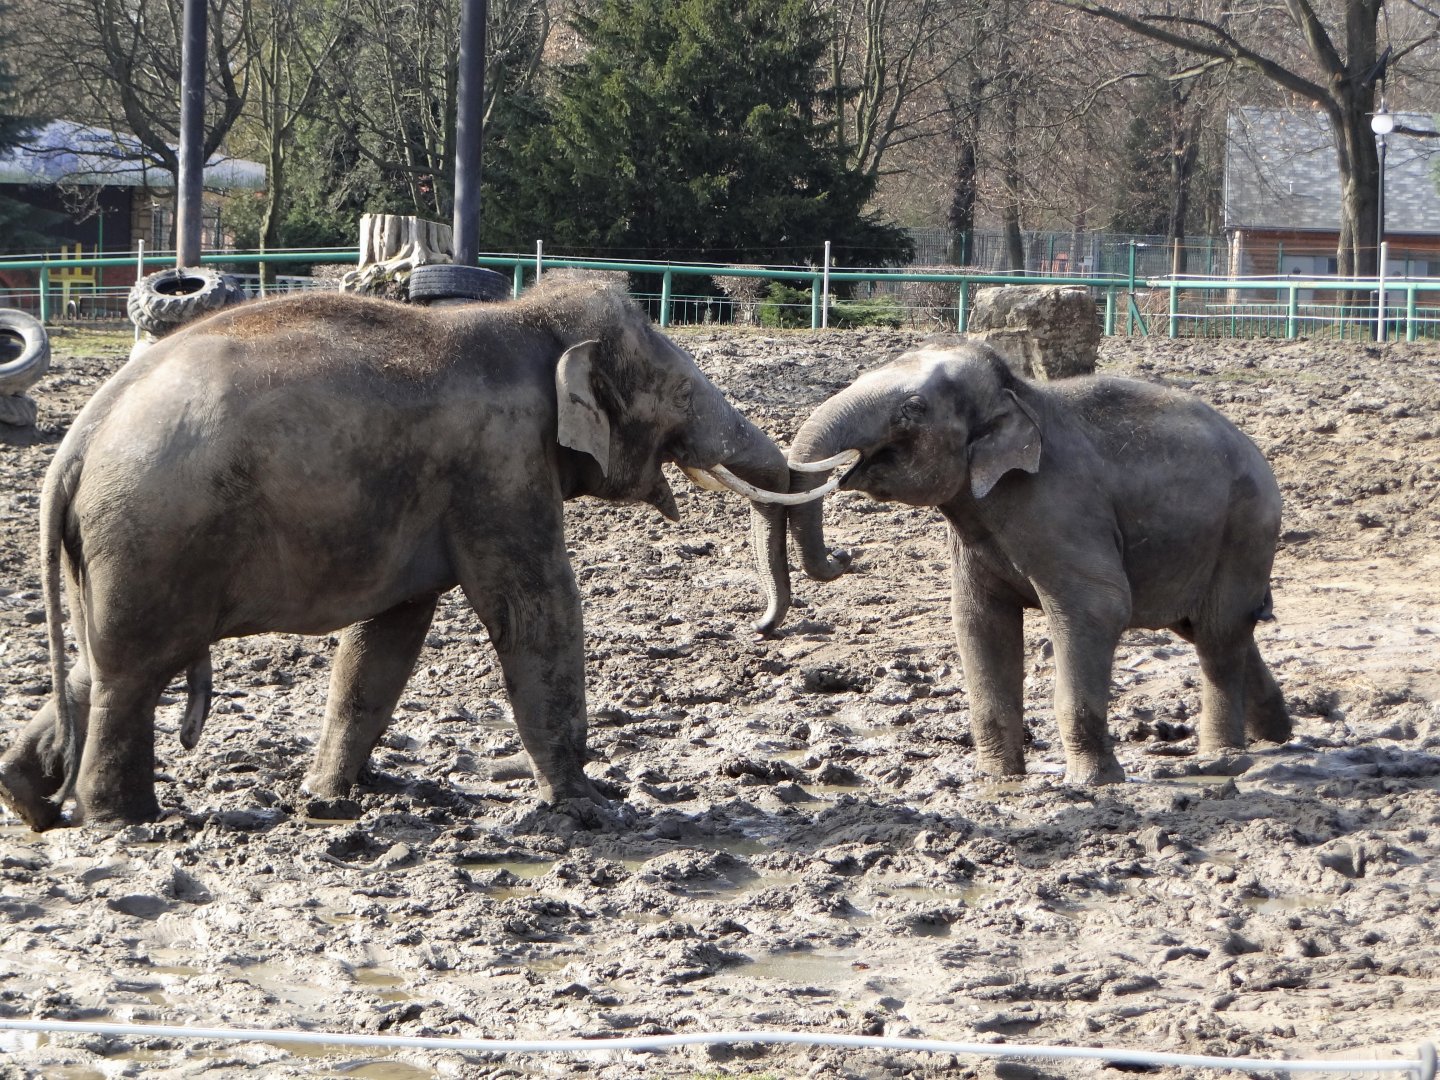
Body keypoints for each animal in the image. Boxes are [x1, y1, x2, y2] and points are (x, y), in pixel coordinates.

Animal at [0, 275, 838, 831]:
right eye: (680, 393)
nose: (766, 623)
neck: (524, 318)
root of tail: (77, 440)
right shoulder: (501, 462)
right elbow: (534, 608)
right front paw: (592, 809)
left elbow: (389, 633)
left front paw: (329, 800)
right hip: (156, 531)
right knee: (135, 670)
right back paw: (129, 820)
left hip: (127, 548)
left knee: (107, 661)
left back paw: (30, 799)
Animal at [786, 338, 1291, 785]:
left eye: (913, 408)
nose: (842, 556)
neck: (1019, 392)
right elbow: (979, 621)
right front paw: (995, 781)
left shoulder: (1061, 506)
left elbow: (1098, 607)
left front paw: (1092, 783)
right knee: (1213, 627)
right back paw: (1278, 738)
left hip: (1245, 530)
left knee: (1218, 633)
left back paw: (1220, 761)